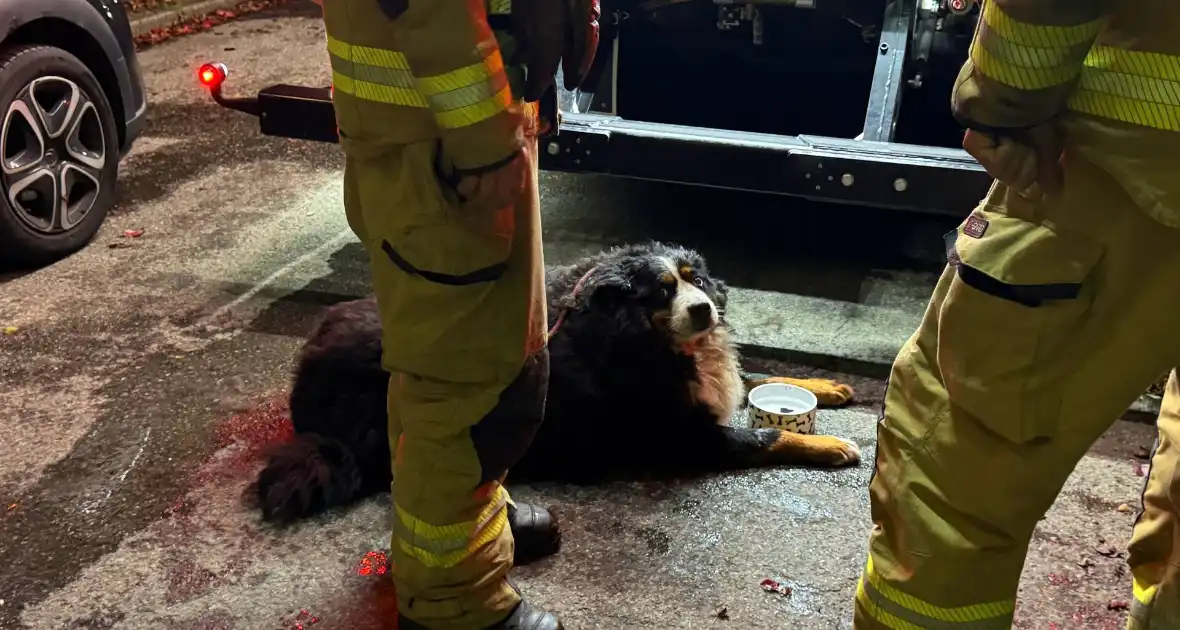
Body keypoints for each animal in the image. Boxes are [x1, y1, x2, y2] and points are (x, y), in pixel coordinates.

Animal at [253, 239, 863, 526]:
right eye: (662, 291)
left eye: (696, 280)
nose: (705, 309)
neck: (635, 333)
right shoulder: (685, 435)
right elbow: (768, 435)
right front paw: (831, 444)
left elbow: (758, 374)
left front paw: (826, 386)